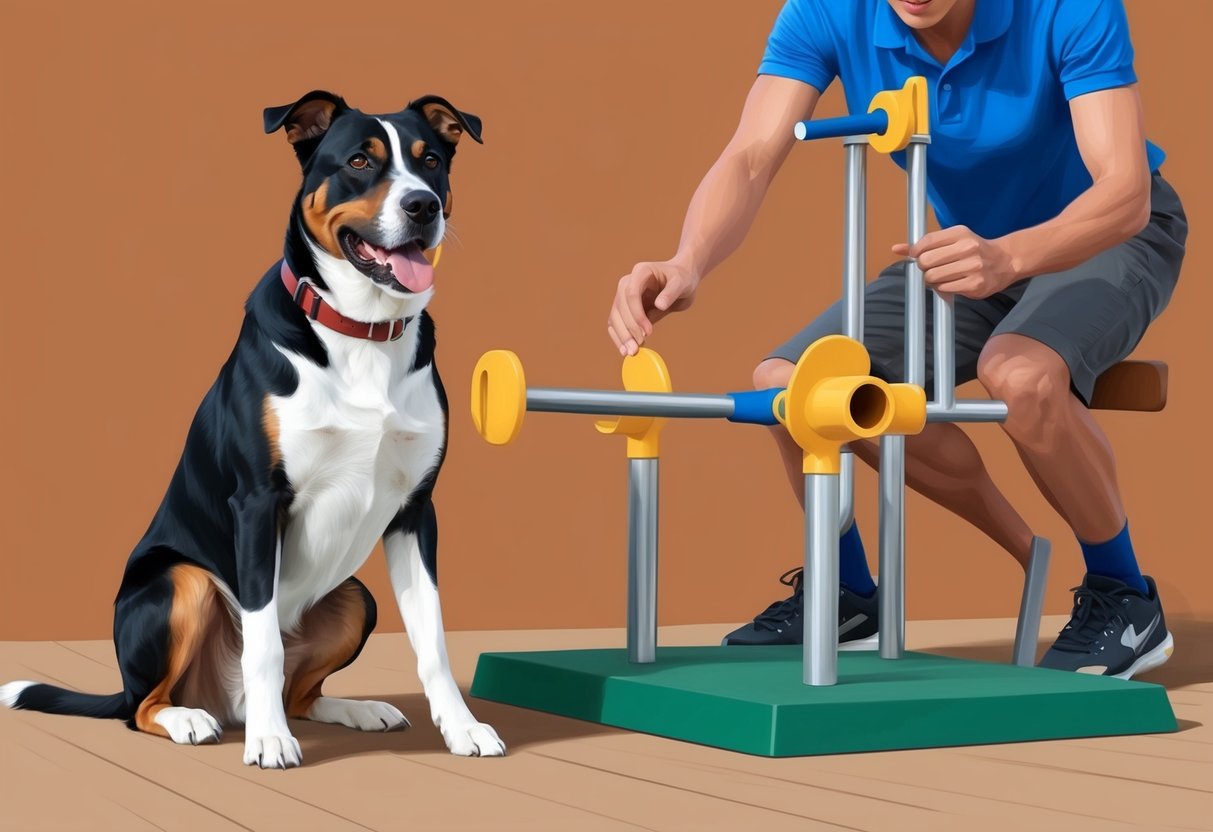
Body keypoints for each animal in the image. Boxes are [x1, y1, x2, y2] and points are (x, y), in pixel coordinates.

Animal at [0, 89, 502, 771]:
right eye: (359, 161)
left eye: (431, 162)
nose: (421, 205)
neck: (363, 333)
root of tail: (221, 698)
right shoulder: (258, 504)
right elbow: (262, 640)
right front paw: (268, 741)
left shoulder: (415, 511)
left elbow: (434, 641)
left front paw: (461, 727)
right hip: (180, 582)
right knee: (142, 706)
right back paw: (195, 717)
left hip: (355, 596)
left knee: (301, 692)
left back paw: (354, 709)